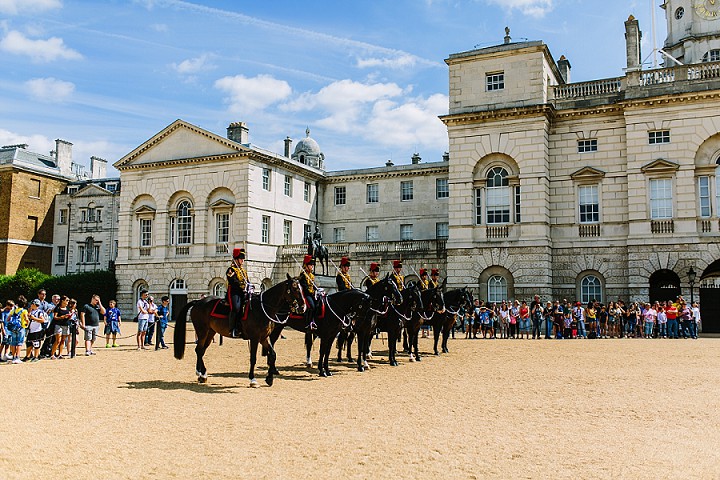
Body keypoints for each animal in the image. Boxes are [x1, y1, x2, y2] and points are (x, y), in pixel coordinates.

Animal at [174, 274, 304, 386]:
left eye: (301, 288)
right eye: (295, 288)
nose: (302, 307)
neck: (262, 308)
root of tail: (198, 301)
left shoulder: (264, 338)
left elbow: (272, 354)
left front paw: (269, 378)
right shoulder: (255, 338)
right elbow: (253, 358)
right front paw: (252, 379)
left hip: (210, 333)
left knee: (201, 351)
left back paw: (202, 374)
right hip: (202, 332)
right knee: (199, 350)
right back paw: (201, 374)